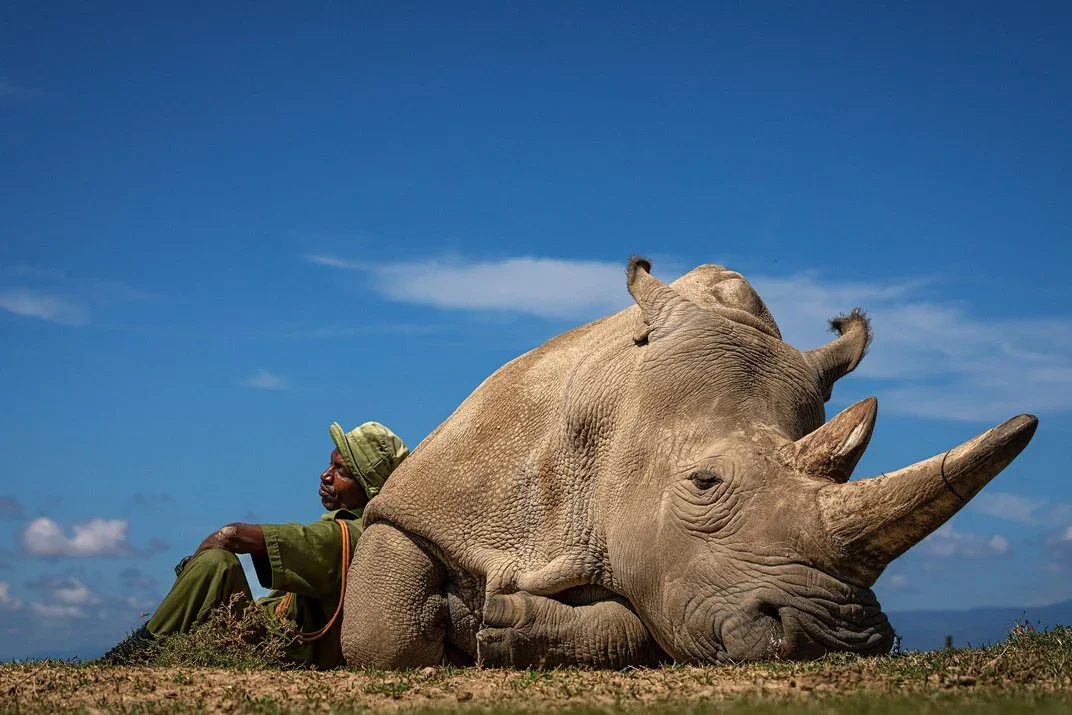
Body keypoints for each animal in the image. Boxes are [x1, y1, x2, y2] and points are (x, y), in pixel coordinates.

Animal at [341, 258, 1037, 668]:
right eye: (705, 483)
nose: (836, 637)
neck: (612, 416)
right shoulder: (428, 500)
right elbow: (383, 632)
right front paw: (454, 622)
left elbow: (635, 623)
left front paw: (494, 625)